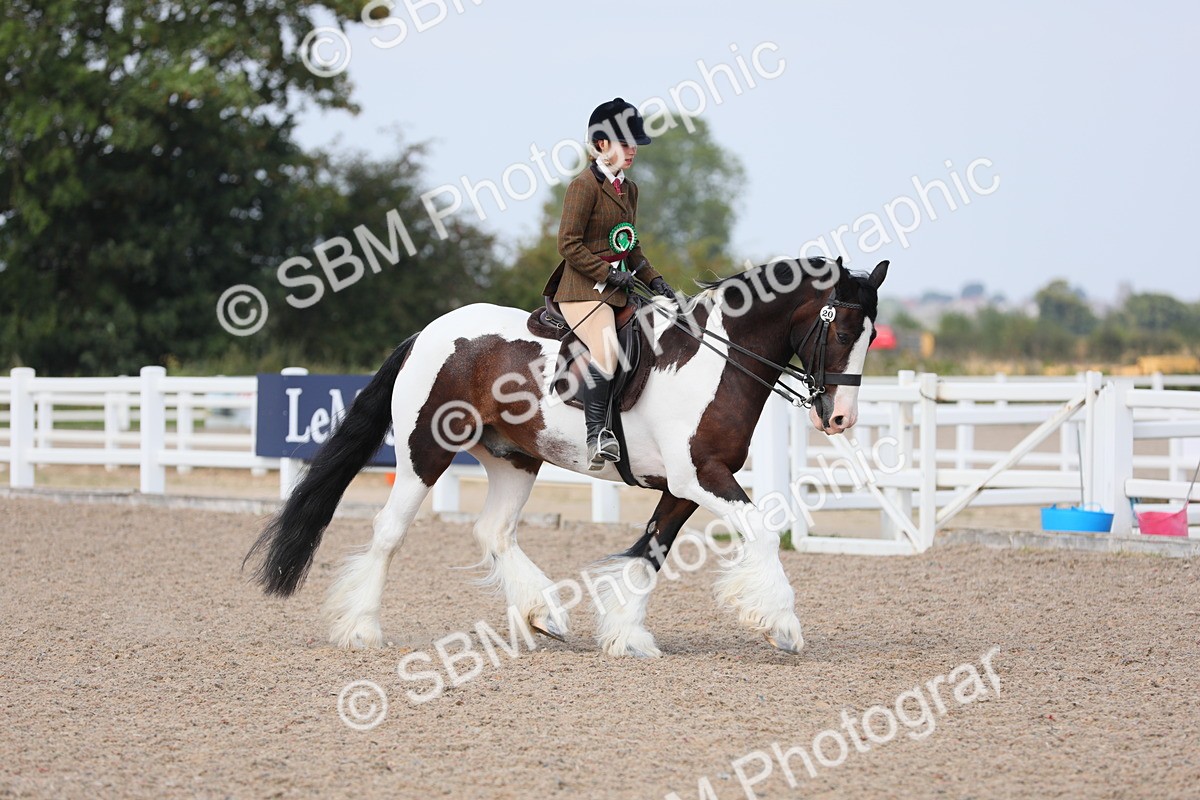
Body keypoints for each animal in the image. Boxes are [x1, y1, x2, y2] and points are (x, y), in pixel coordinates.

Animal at [246, 256, 888, 656]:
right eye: (840, 330)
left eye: (870, 336)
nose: (839, 418)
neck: (715, 360)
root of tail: (427, 333)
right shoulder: (703, 477)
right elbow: (761, 528)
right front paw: (781, 624)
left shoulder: (682, 487)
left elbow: (650, 552)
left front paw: (628, 636)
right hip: (424, 453)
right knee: (388, 533)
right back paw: (361, 628)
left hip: (514, 459)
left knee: (493, 532)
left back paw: (543, 614)